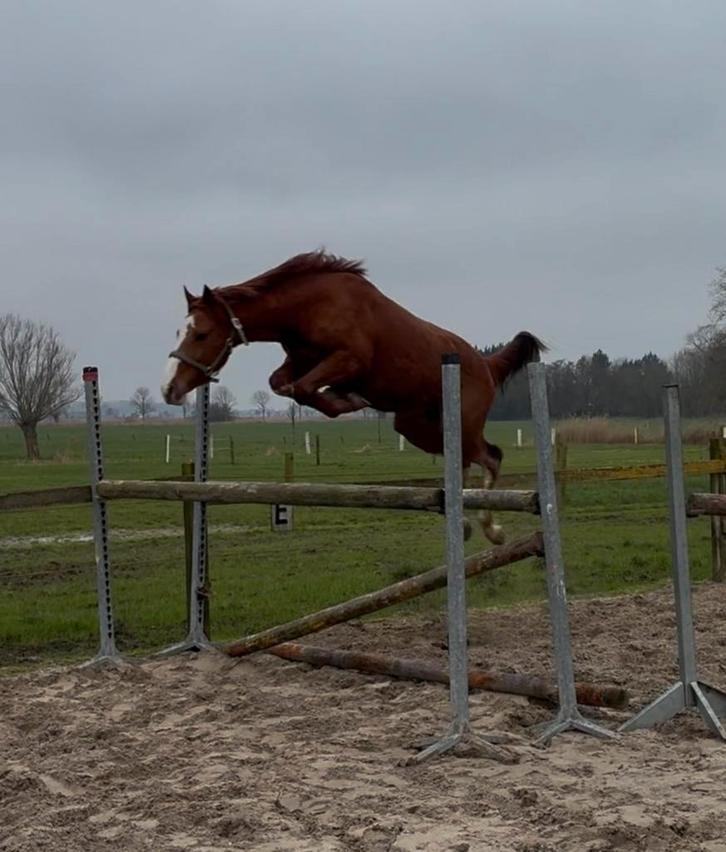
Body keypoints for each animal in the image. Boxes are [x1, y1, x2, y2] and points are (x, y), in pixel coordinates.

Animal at [162, 250, 545, 542]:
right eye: (180, 331)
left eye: (201, 334)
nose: (169, 389)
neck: (308, 307)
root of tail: (486, 365)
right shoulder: (299, 360)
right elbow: (282, 384)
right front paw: (342, 398)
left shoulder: (348, 359)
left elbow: (303, 388)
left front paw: (347, 399)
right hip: (417, 427)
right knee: (463, 460)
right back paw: (463, 522)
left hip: (460, 422)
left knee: (490, 457)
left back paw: (491, 529)